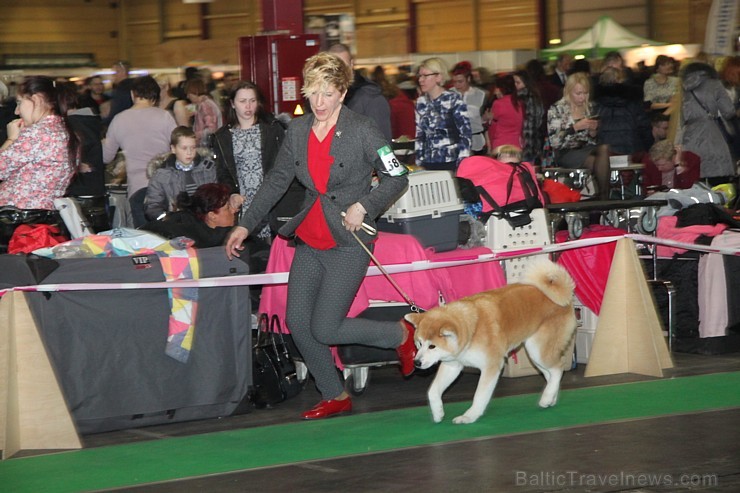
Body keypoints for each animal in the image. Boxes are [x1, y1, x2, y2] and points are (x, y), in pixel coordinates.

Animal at [404, 260, 580, 424]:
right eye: (419, 344)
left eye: (432, 346)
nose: (417, 362)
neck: (471, 330)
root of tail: (565, 295)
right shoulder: (452, 365)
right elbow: (433, 392)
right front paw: (438, 413)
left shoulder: (491, 366)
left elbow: (479, 395)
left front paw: (469, 416)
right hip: (535, 354)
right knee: (551, 373)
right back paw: (551, 398)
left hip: (539, 350)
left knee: (558, 368)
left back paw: (546, 398)